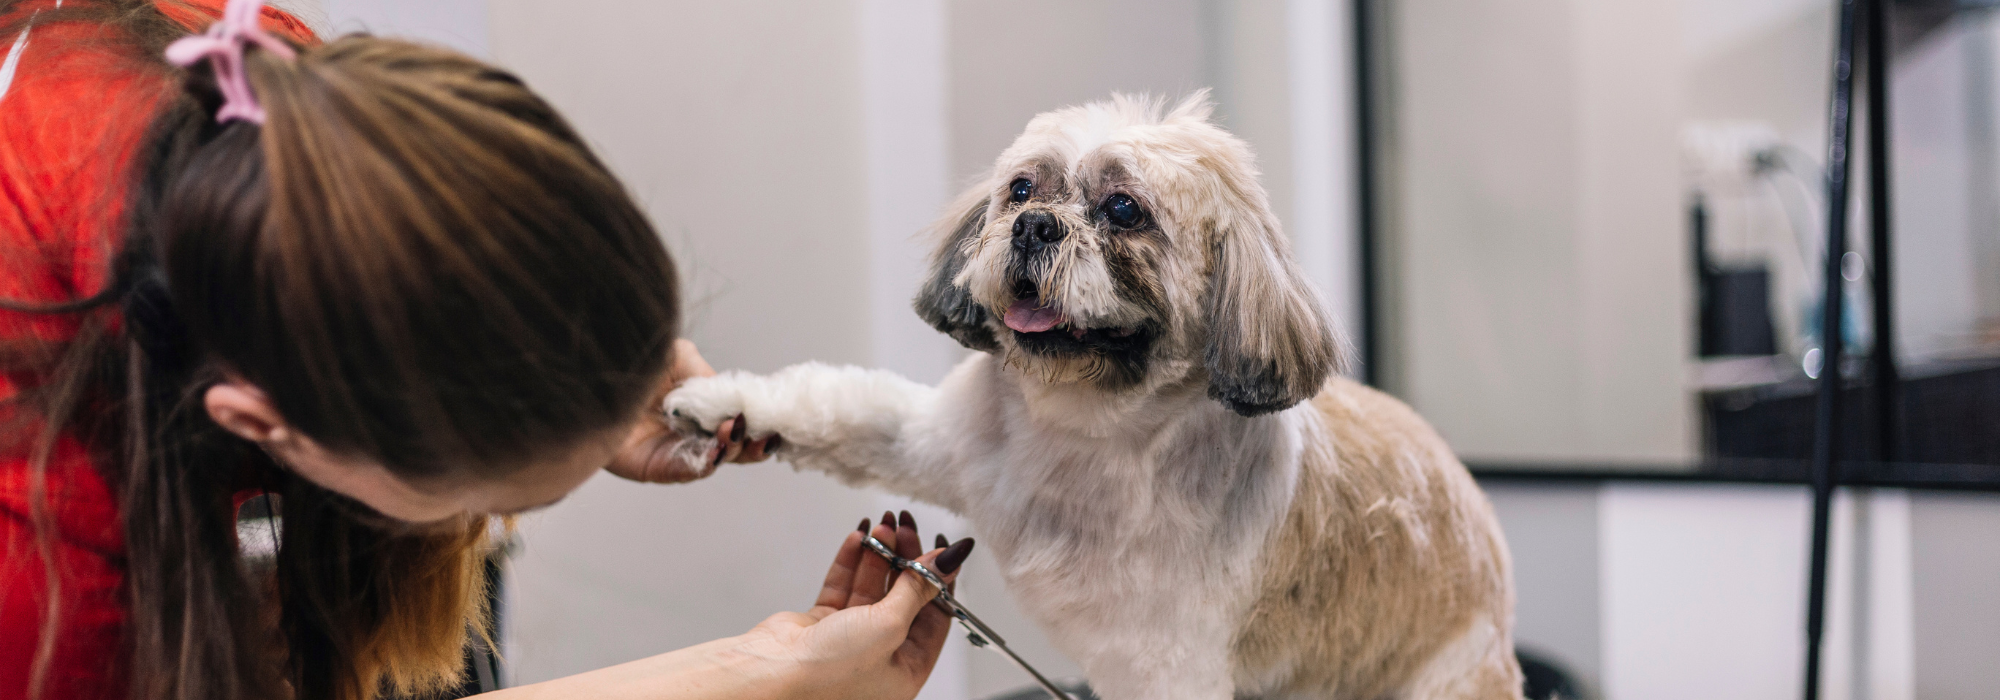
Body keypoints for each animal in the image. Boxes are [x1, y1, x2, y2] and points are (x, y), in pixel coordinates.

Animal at [664, 93, 1520, 700]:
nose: (1035, 225)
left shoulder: (1167, 667)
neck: (1086, 429)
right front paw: (712, 404)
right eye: (1018, 189)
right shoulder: (939, 442)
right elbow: (838, 406)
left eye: (1123, 209)